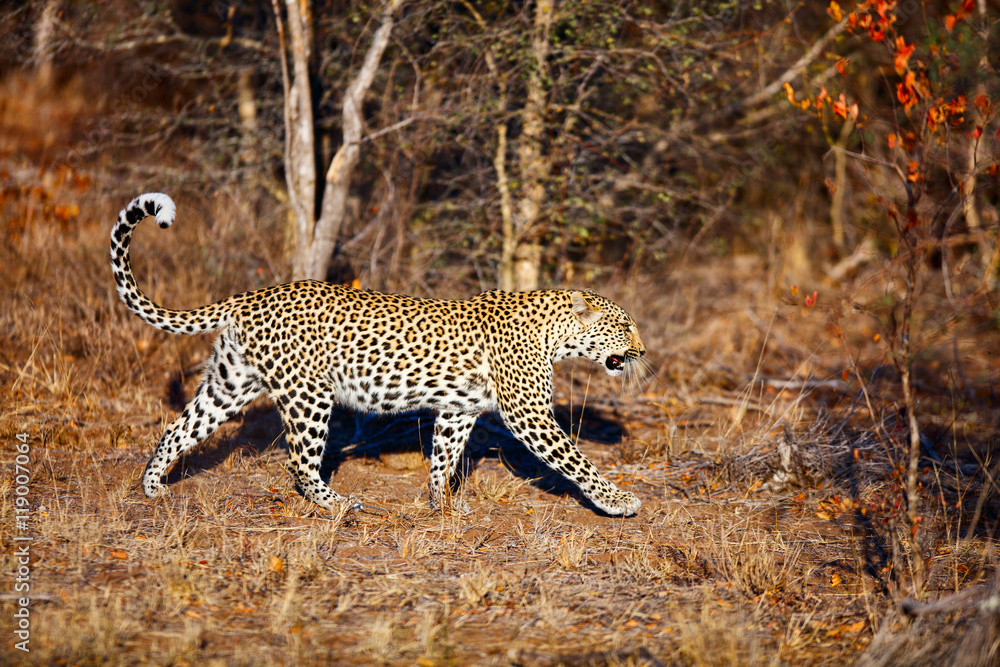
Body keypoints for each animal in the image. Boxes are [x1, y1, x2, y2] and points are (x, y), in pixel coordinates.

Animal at [111, 193, 647, 516]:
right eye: (624, 324)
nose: (641, 350)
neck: (555, 332)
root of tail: (250, 295)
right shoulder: (529, 414)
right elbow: (576, 460)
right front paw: (617, 500)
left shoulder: (457, 411)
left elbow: (444, 459)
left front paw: (441, 505)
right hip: (308, 395)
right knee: (299, 462)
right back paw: (337, 504)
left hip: (230, 383)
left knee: (178, 428)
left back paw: (153, 487)